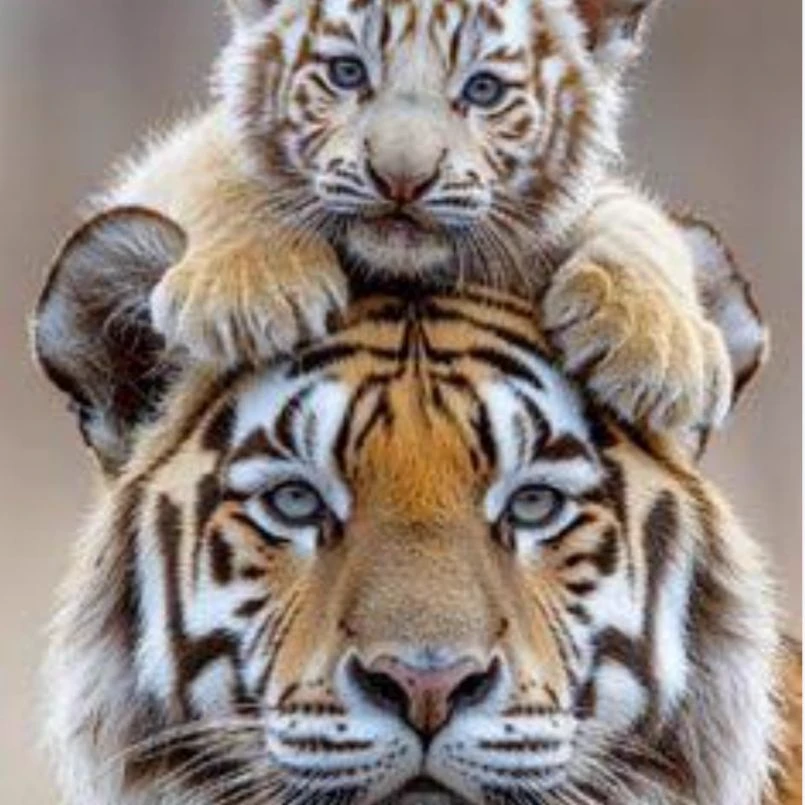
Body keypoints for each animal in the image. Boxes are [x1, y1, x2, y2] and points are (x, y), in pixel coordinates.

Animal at [103, 0, 734, 434]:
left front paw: (656, 345)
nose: (402, 178)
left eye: (483, 89)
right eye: (348, 73)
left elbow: (636, 221)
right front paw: (246, 291)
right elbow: (219, 164)